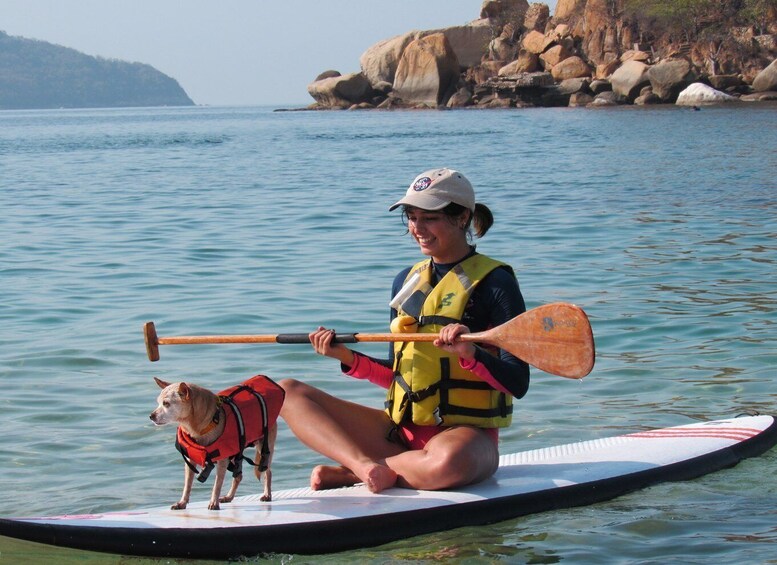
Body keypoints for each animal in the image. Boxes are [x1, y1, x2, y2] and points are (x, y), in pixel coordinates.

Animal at [150, 374, 284, 512]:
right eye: (158, 402)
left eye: (166, 404)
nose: (151, 416)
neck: (198, 427)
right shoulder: (190, 460)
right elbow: (187, 484)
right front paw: (182, 502)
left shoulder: (222, 460)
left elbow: (217, 484)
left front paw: (213, 503)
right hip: (237, 452)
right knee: (238, 476)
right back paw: (229, 497)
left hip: (264, 446)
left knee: (267, 471)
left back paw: (267, 494)